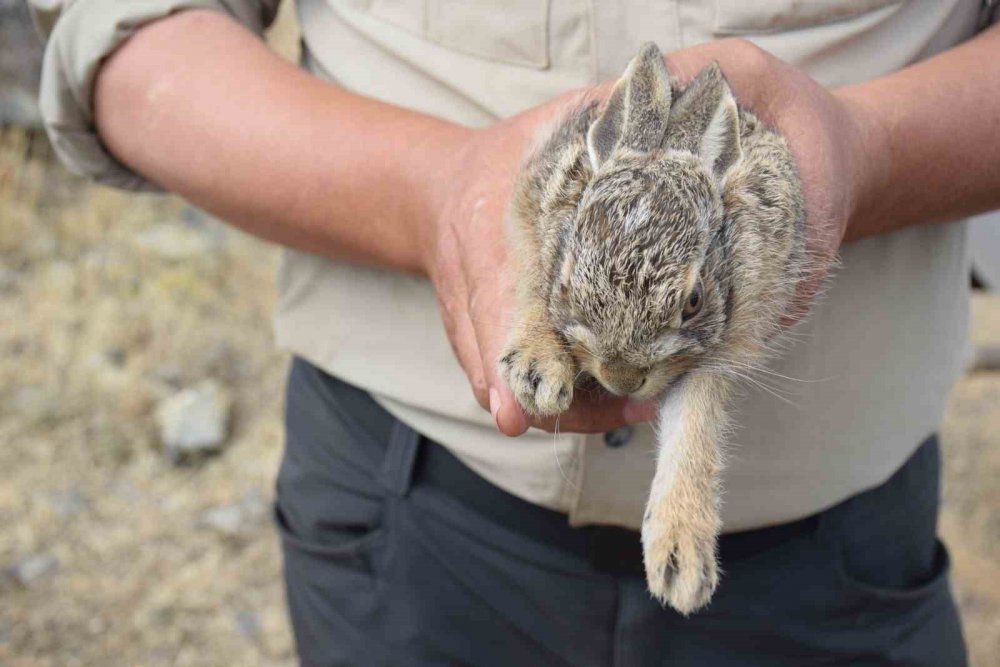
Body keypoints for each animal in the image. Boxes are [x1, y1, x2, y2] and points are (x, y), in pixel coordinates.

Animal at [500, 41, 812, 616]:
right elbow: (532, 286)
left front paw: (681, 561)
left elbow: (696, 424)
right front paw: (537, 371)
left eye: (692, 302)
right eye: (569, 284)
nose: (622, 378)